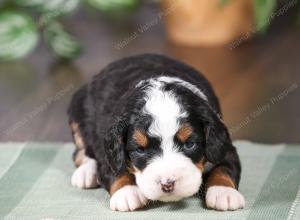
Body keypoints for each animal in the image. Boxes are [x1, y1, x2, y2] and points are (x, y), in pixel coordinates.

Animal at [68, 53, 246, 211]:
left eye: (189, 144)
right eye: (140, 149)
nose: (167, 184)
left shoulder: (223, 145)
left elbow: (224, 167)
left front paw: (224, 193)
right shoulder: (108, 151)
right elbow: (115, 169)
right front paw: (127, 193)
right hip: (77, 108)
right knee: (80, 152)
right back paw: (86, 174)